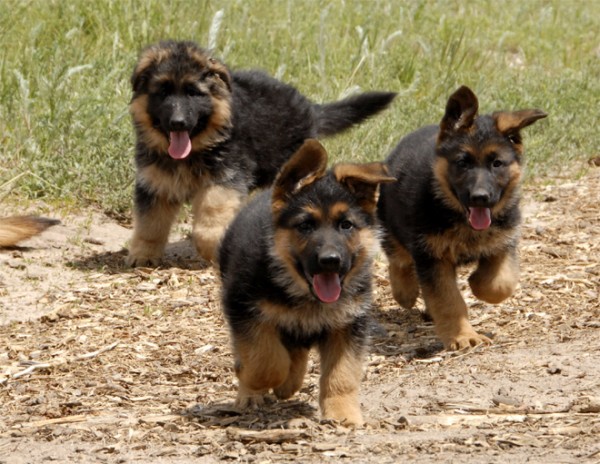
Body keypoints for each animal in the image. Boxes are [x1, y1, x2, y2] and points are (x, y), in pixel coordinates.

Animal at [126, 41, 396, 266]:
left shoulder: (225, 178)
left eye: (193, 92)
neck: (199, 146)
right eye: (162, 92)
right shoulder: (155, 184)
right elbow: (150, 223)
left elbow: (210, 218)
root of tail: (309, 109)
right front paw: (144, 254)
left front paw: (211, 247)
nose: (178, 123)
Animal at [218, 138, 396, 424]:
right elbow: (264, 362)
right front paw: (263, 381)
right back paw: (251, 393)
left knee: (296, 350)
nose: (330, 260)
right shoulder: (243, 309)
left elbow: (342, 373)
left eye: (346, 225)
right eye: (305, 226)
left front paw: (342, 412)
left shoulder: (348, 324)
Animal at [380, 85, 548, 350]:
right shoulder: (432, 256)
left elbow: (500, 283)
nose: (480, 197)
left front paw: (476, 281)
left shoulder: (504, 242)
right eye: (462, 163)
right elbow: (448, 300)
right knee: (399, 259)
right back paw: (405, 290)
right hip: (392, 225)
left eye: (497, 163)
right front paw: (463, 336)